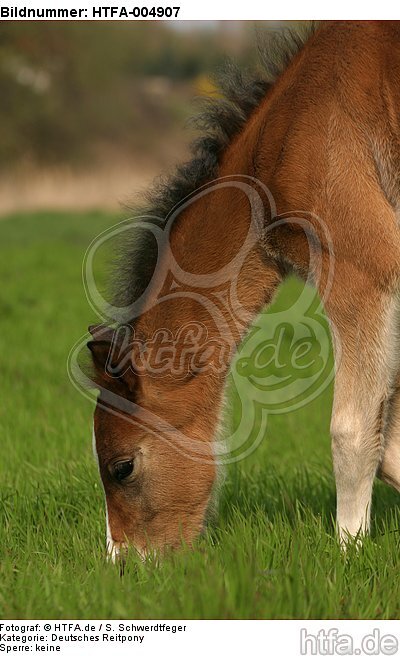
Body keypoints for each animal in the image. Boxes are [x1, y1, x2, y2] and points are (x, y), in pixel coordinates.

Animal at [87, 21, 400, 559]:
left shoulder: (364, 269)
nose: (124, 565)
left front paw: (349, 552)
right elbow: (391, 441)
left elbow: (353, 432)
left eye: (122, 467)